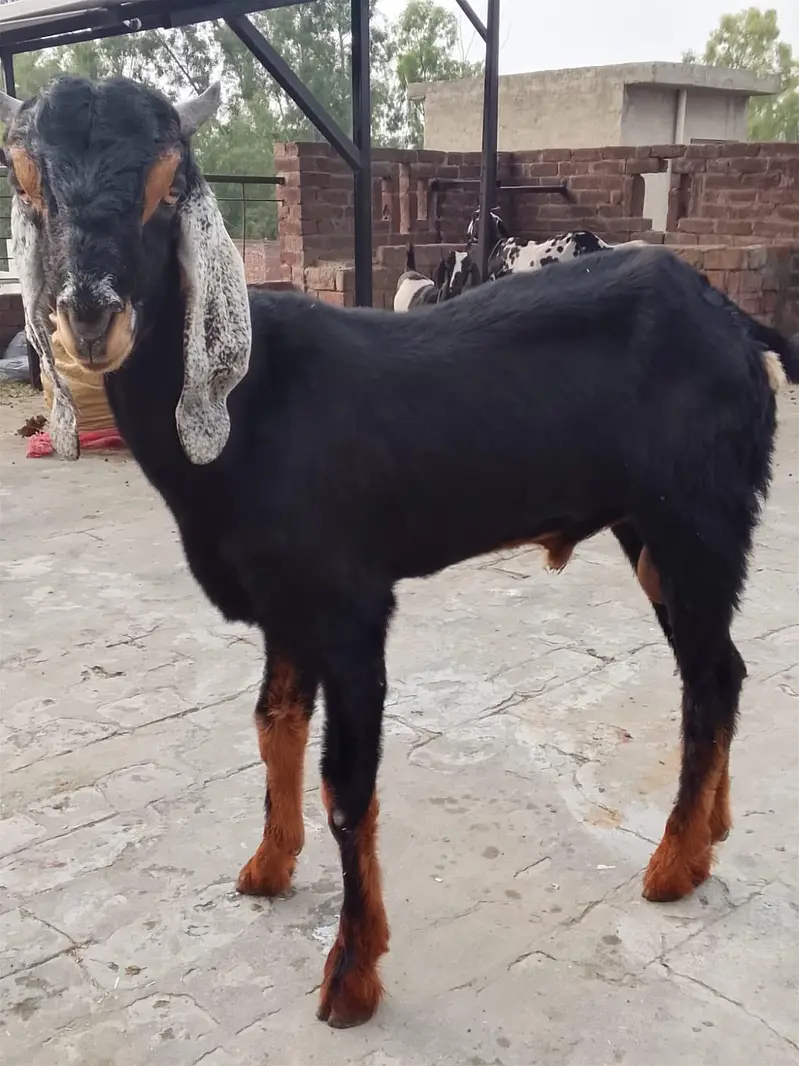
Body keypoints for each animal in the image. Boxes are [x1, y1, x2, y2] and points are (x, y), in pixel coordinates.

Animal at [1, 76, 785, 1029]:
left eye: (166, 185)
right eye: (26, 179)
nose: (90, 316)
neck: (250, 407)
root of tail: (734, 322)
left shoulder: (350, 606)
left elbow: (348, 787)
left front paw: (350, 977)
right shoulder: (285, 604)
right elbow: (272, 725)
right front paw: (266, 867)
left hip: (697, 518)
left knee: (707, 680)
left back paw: (670, 867)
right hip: (659, 532)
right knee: (722, 670)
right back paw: (706, 839)